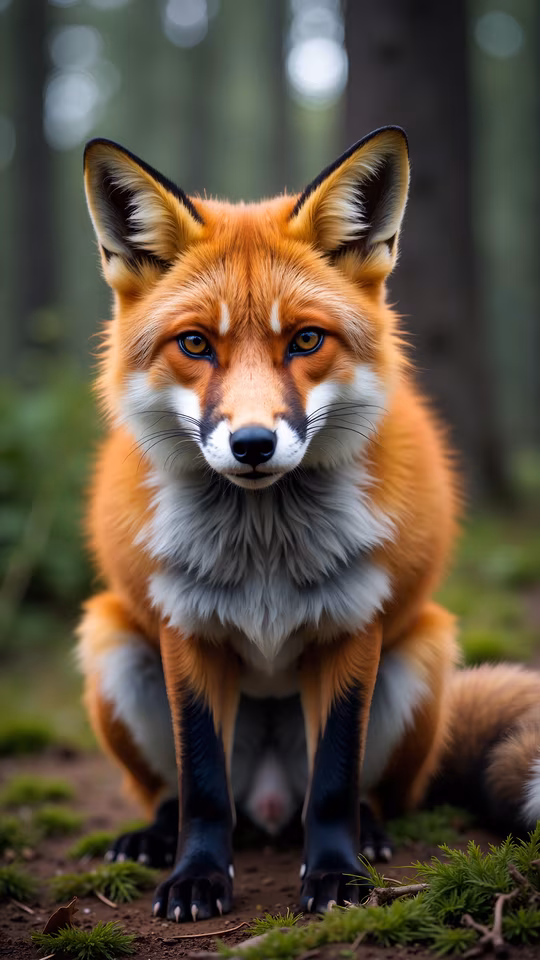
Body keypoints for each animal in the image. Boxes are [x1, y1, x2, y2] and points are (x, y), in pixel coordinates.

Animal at [78, 125, 466, 922]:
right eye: (196, 344)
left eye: (306, 341)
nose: (253, 444)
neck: (263, 554)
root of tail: (266, 803)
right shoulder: (185, 628)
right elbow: (200, 784)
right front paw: (196, 877)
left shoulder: (353, 626)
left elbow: (334, 783)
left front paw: (339, 875)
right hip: (112, 643)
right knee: (181, 794)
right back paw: (153, 836)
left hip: (422, 655)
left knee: (355, 794)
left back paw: (370, 834)